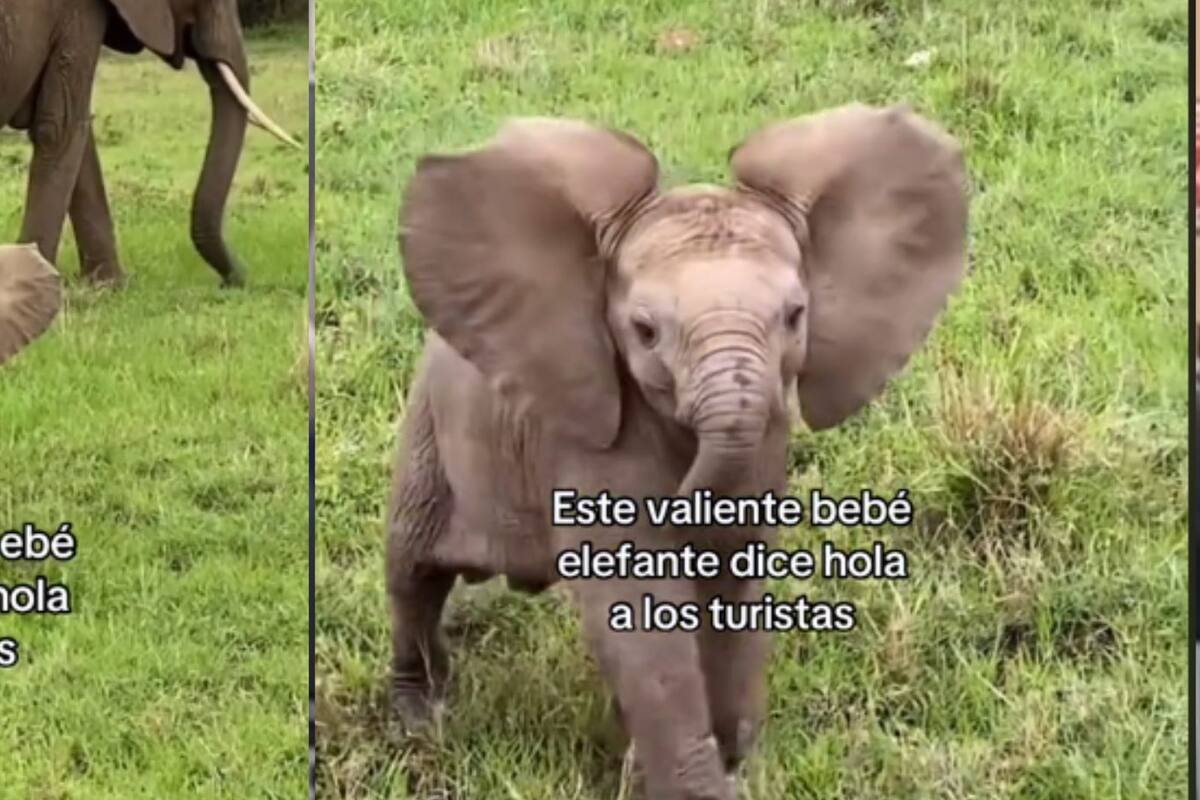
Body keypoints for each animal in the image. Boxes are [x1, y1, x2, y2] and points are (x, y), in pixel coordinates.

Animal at [387, 103, 968, 800]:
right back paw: (420, 719)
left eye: (795, 316)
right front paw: (696, 782)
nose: (734, 752)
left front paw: (714, 763)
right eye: (643, 332)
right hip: (428, 428)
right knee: (412, 567)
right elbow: (643, 610)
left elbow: (734, 577)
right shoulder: (592, 443)